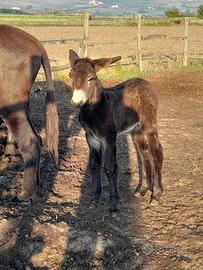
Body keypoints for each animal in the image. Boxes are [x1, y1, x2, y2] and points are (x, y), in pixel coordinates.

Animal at [0, 25, 58, 202]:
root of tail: (36, 43)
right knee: (38, 139)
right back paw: (37, 187)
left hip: (9, 103)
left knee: (30, 140)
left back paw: (26, 194)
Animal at [69, 49, 164, 212]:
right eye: (71, 76)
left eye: (91, 78)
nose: (76, 102)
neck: (93, 109)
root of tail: (145, 82)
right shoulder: (91, 138)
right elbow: (94, 166)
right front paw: (95, 199)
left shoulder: (109, 138)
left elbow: (110, 167)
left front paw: (114, 202)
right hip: (136, 129)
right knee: (144, 153)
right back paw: (142, 190)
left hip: (149, 125)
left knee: (156, 152)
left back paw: (156, 195)